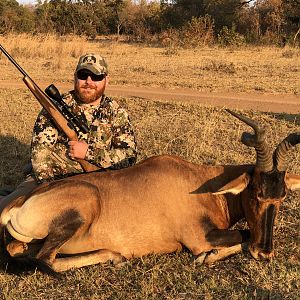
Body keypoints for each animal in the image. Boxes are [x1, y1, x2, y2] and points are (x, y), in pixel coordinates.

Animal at [0, 109, 300, 272]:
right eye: (255, 192)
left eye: (282, 196)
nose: (264, 253)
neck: (195, 181)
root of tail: (20, 202)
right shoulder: (197, 238)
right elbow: (243, 234)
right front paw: (209, 257)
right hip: (84, 204)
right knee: (45, 260)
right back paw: (117, 256)